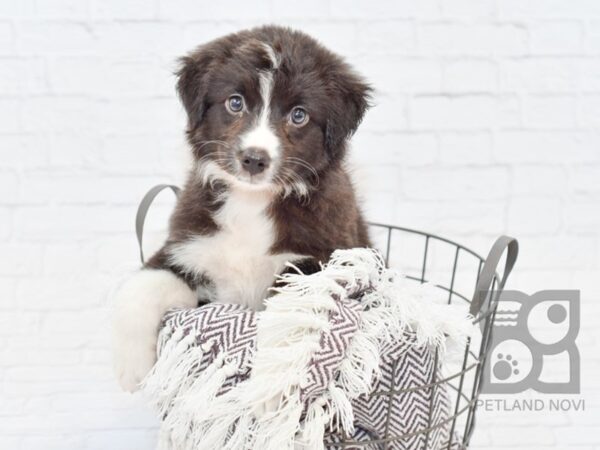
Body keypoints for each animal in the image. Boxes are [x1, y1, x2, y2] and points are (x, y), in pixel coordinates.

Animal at [112, 25, 370, 390]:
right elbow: (143, 284)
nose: (254, 159)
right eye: (235, 103)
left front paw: (269, 393)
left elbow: (292, 313)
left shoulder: (323, 260)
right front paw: (132, 369)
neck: (252, 202)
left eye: (299, 115)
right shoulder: (186, 247)